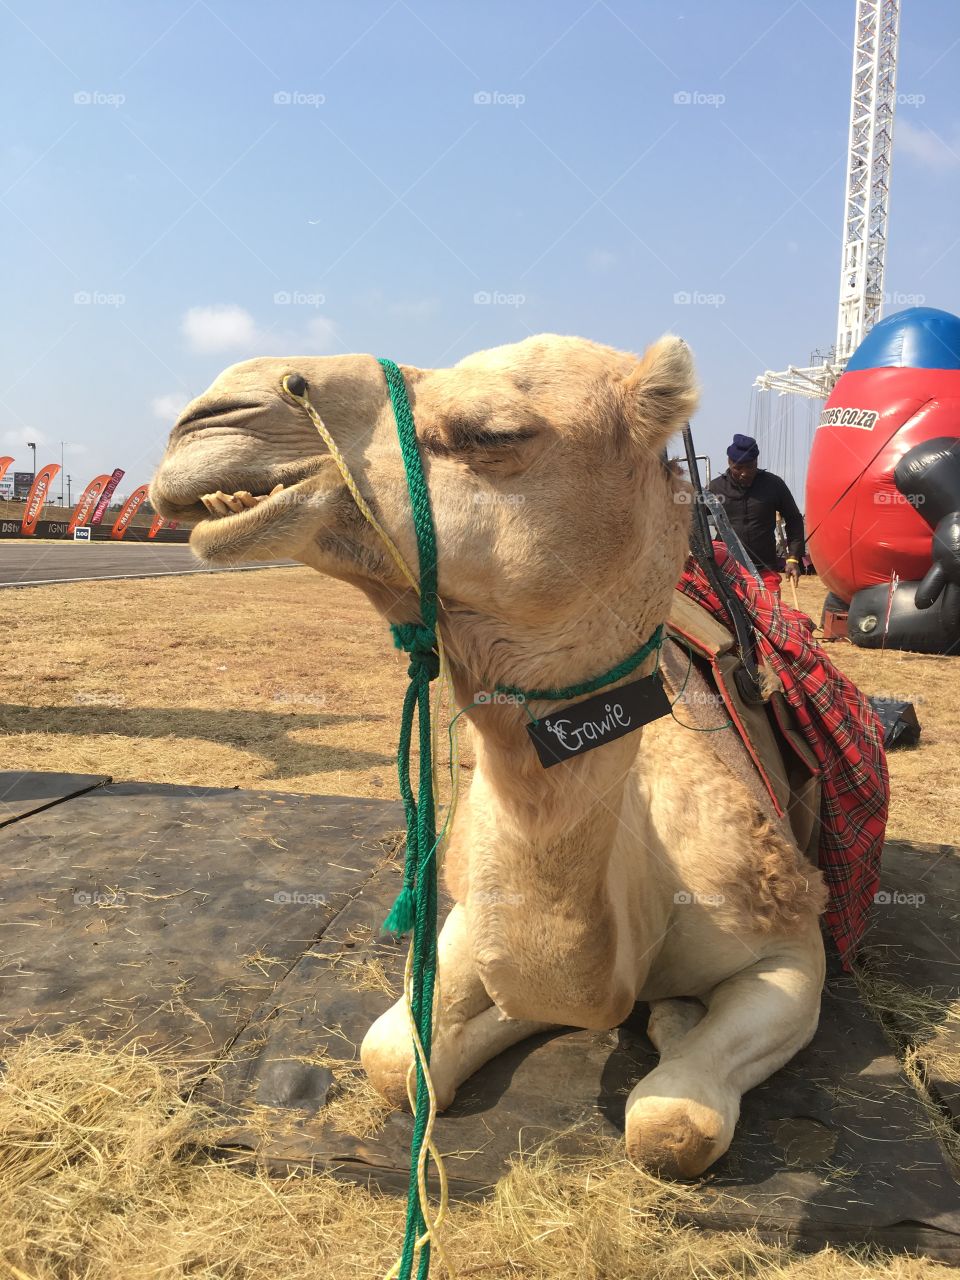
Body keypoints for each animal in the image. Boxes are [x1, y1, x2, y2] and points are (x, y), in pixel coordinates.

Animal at [151, 334, 828, 1177]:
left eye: (492, 431)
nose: (209, 416)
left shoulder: (794, 948)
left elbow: (673, 1126)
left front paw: (668, 1028)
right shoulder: (476, 910)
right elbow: (393, 1056)